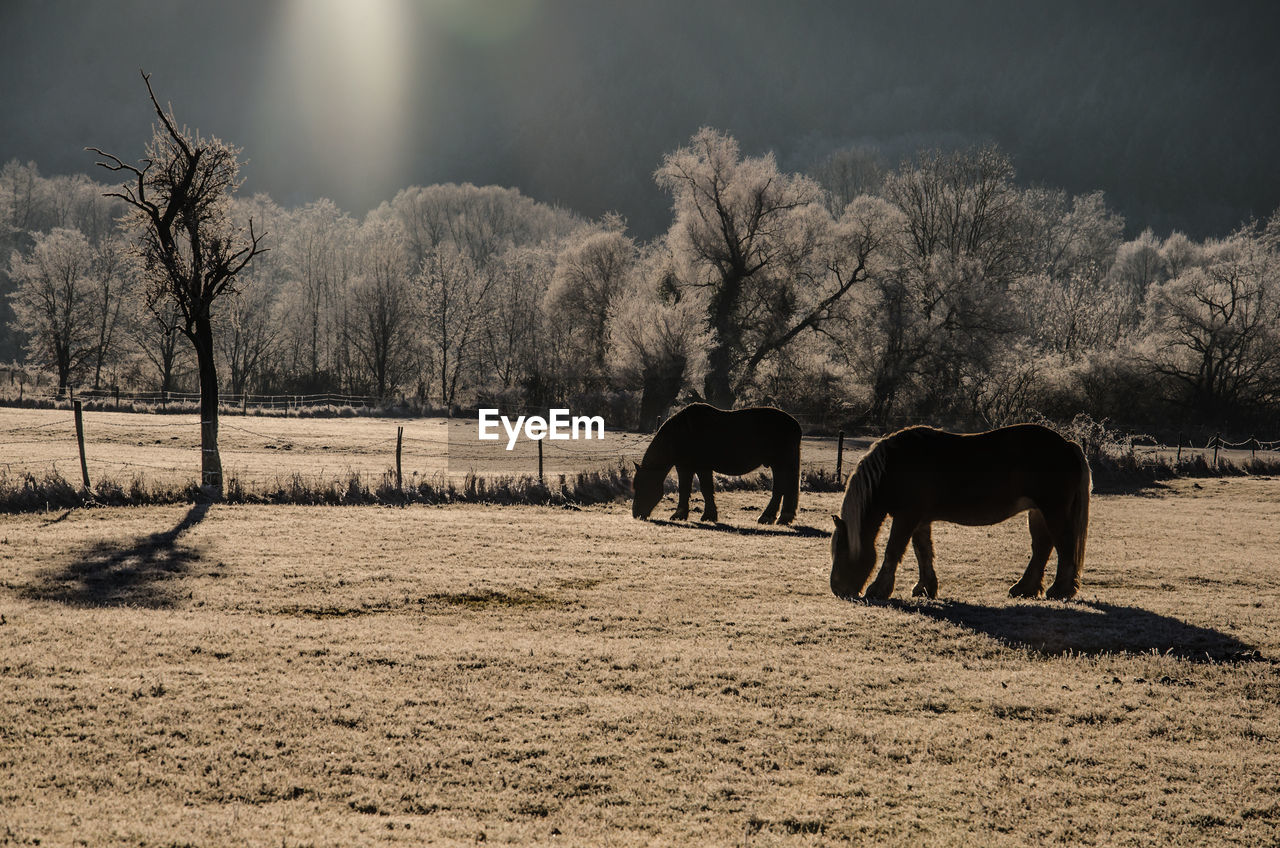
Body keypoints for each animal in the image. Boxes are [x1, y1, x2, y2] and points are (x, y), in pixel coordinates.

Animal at [629, 404, 798, 525]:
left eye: (643, 485)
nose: (636, 514)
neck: (681, 432)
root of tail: (795, 424)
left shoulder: (696, 467)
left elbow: (701, 489)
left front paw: (702, 515)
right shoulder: (689, 467)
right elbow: (692, 489)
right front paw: (688, 515)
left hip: (780, 464)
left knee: (780, 489)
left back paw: (768, 517)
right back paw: (781, 517)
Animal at [829, 427, 1090, 602]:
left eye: (841, 552)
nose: (838, 590)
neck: (893, 466)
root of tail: (1067, 445)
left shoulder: (907, 517)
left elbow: (893, 551)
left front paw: (878, 590)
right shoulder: (920, 520)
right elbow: (923, 552)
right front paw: (925, 588)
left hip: (1053, 511)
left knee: (1064, 546)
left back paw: (1060, 590)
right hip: (1037, 512)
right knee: (1042, 548)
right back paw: (1025, 588)